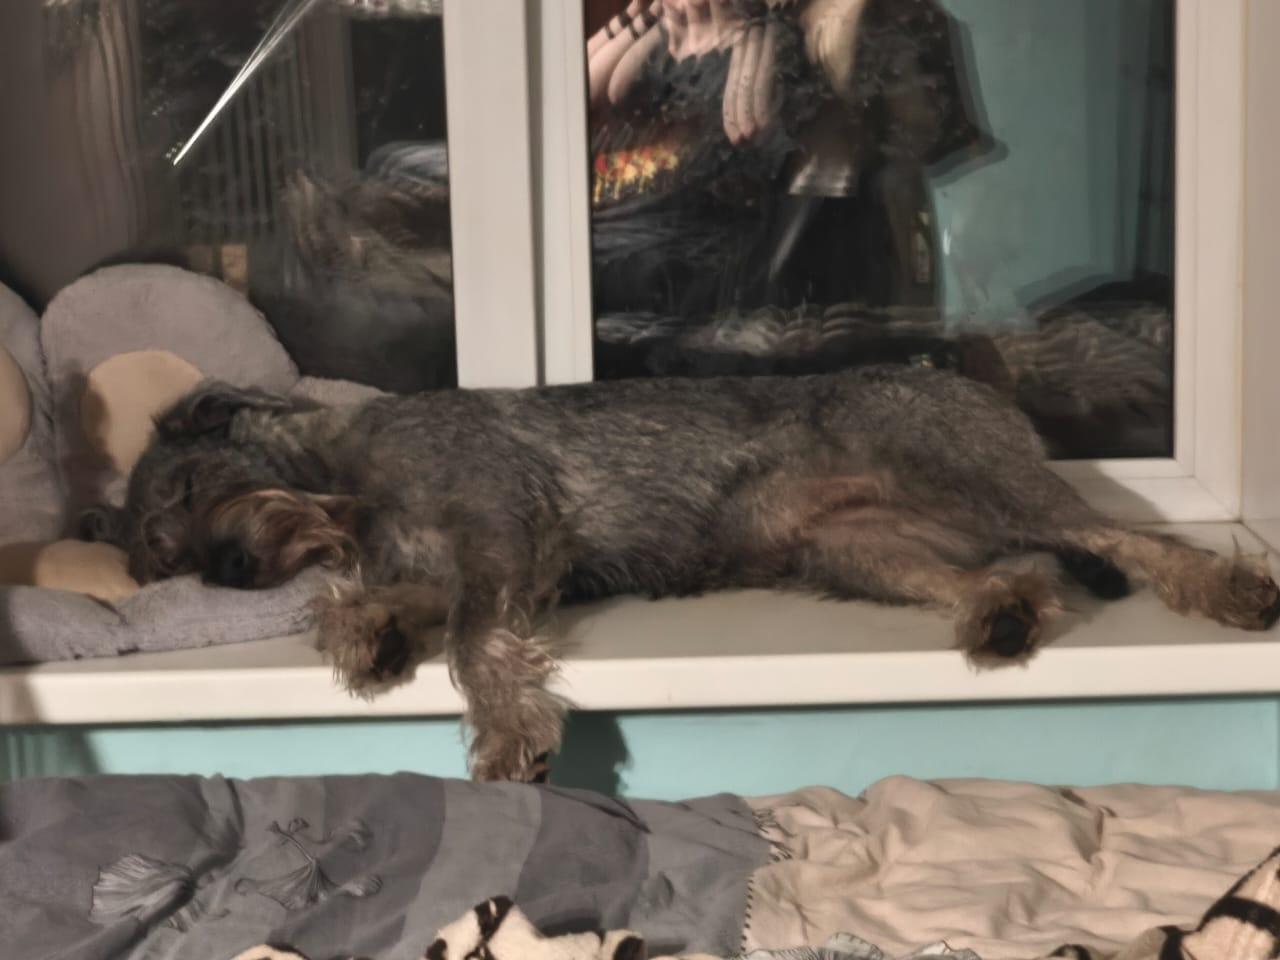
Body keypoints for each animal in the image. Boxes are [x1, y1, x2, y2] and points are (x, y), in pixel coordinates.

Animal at [85, 367, 1280, 781]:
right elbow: (370, 605)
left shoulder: (499, 533)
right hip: (857, 551)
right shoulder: (436, 564)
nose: (231, 569)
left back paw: (1228, 593)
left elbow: (473, 639)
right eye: (160, 558)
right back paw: (999, 616)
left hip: (973, 474)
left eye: (187, 488)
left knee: (1125, 541)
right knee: (1018, 573)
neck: (342, 473)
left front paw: (506, 737)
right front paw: (363, 637)